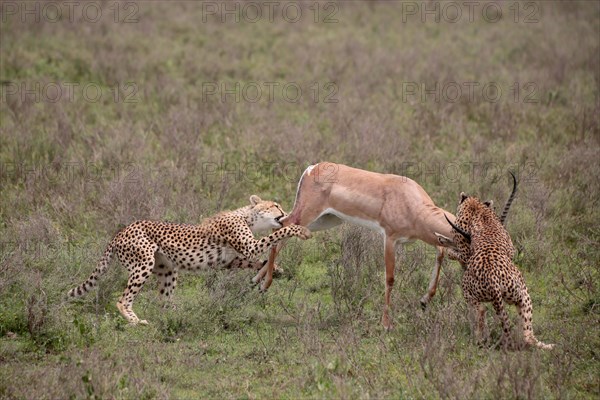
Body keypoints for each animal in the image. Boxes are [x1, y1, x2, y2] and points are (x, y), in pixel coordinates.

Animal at [67, 195, 310, 324]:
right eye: (275, 206)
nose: (286, 212)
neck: (247, 217)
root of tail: (121, 231)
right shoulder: (248, 247)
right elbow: (276, 235)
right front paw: (299, 230)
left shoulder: (229, 261)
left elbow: (254, 261)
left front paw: (275, 268)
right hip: (143, 263)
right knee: (123, 299)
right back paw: (136, 321)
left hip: (167, 270)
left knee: (164, 300)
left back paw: (180, 315)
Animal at [440, 194, 552, 350]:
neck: (478, 210)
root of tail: (492, 279)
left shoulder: (465, 252)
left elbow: (452, 252)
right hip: (521, 294)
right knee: (527, 335)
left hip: (474, 293)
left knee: (480, 311)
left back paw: (479, 339)